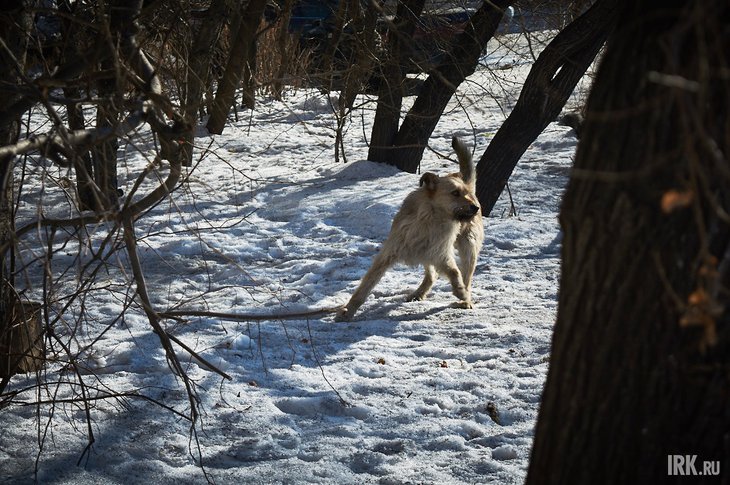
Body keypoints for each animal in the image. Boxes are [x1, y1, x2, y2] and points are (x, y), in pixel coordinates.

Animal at [336, 134, 484, 320]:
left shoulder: (441, 252)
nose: (475, 208)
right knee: (432, 275)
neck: (430, 220)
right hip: (427, 253)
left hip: (467, 247)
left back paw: (466, 299)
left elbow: (455, 272)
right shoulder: (387, 255)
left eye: (466, 194)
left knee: (465, 275)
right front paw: (348, 312)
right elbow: (364, 287)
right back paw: (419, 293)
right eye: (455, 193)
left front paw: (461, 292)